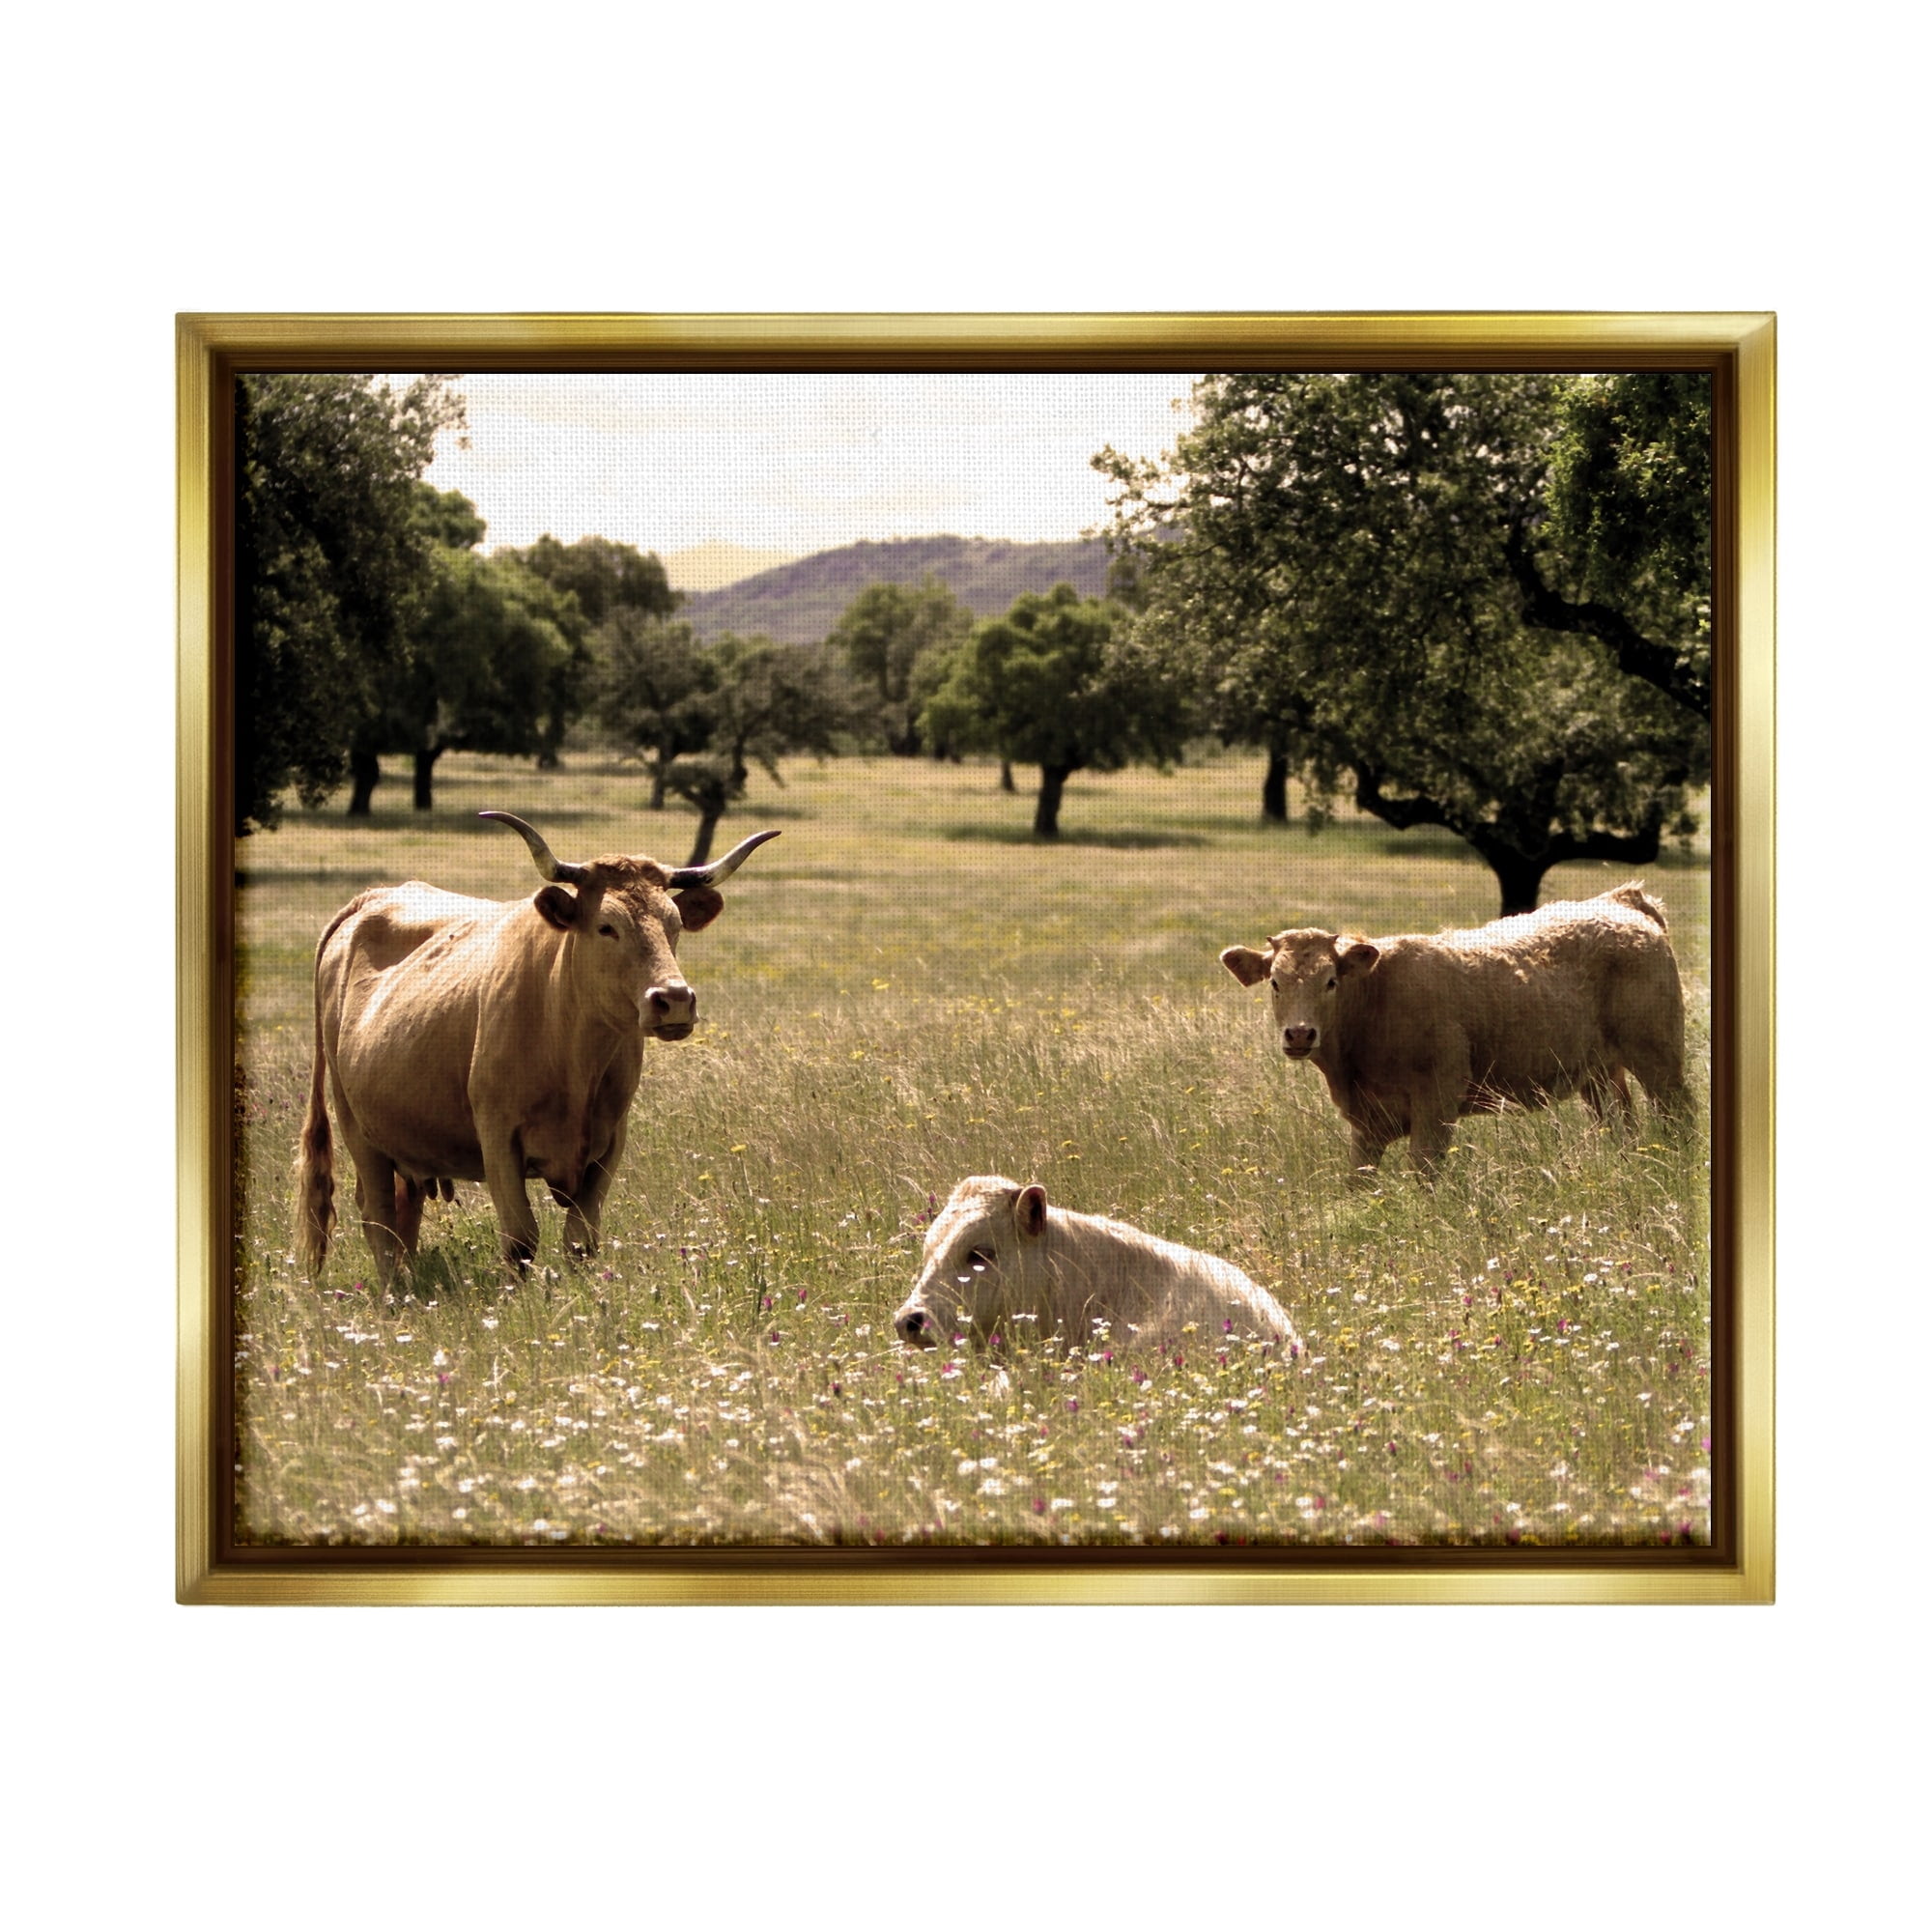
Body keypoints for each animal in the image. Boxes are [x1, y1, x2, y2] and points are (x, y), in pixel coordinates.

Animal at [296, 812, 779, 1283]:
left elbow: (581, 1241)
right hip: (355, 1124)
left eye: (674, 925)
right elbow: (520, 1239)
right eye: (607, 927)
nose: (674, 999)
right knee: (376, 1213)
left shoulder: (610, 1142)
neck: (571, 1056)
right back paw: (395, 1292)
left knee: (403, 1210)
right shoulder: (498, 1137)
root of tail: (373, 897)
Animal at [1218, 883, 1688, 1177]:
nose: (1300, 1034)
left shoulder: (1437, 1102)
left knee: (1678, 1116)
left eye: (1331, 981)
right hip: (1599, 1074)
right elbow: (1358, 1183)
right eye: (1275, 982)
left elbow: (1425, 1173)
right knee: (1622, 1125)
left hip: (1659, 1059)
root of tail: (1619, 901)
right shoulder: (1366, 1125)